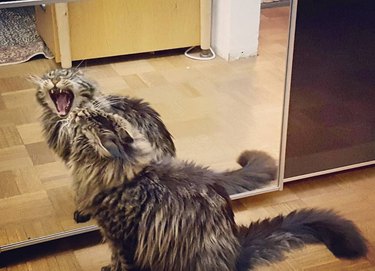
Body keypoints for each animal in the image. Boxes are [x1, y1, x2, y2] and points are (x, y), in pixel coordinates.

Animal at [64, 105, 368, 270]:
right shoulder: (112, 238)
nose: (73, 111)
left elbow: (122, 263)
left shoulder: (123, 238)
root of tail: (237, 254)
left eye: (80, 119)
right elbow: (114, 260)